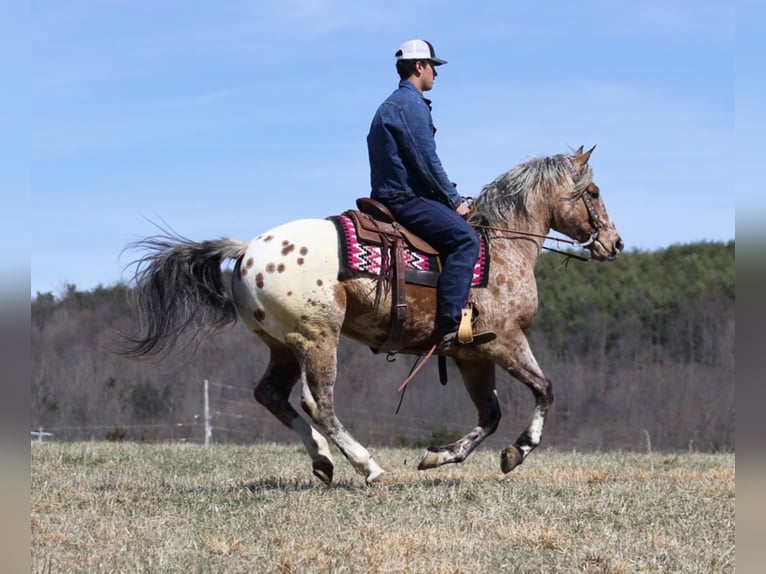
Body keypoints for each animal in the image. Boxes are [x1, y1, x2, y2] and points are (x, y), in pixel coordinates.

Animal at [121, 145, 624, 486]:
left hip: (282, 345)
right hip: (317, 339)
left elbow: (490, 415)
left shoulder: (470, 356)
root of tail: (247, 251)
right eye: (594, 191)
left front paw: (440, 456)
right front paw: (518, 452)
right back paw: (368, 467)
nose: (614, 243)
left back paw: (322, 460)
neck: (501, 244)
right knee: (318, 404)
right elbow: (544, 390)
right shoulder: (504, 341)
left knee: (271, 395)